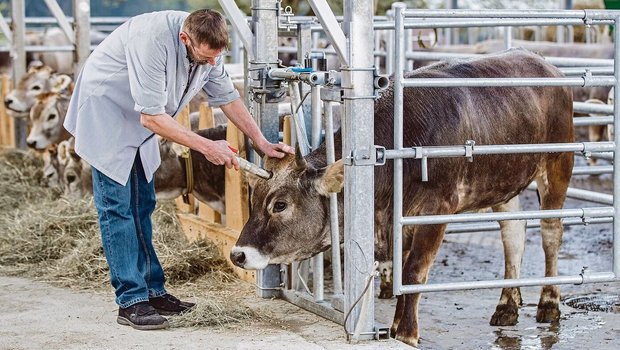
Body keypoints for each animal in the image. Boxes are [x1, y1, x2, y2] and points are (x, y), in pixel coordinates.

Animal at [230, 49, 572, 348]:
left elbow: (413, 272)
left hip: (557, 166)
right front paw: (394, 327)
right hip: (504, 181)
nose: (238, 255)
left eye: (280, 205)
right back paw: (507, 306)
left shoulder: (436, 210)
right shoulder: (398, 218)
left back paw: (549, 303)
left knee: (551, 233)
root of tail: (544, 63)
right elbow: (400, 270)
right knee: (513, 234)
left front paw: (406, 333)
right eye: (254, 199)